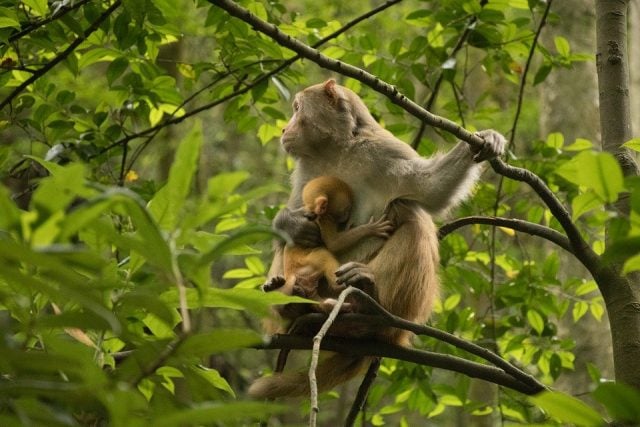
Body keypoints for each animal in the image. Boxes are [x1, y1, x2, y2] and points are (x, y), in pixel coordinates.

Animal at [262, 175, 392, 318]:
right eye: (346, 209)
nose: (348, 215)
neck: (311, 209)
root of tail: (290, 274)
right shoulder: (325, 219)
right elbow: (333, 243)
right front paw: (369, 229)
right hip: (306, 266)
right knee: (323, 254)